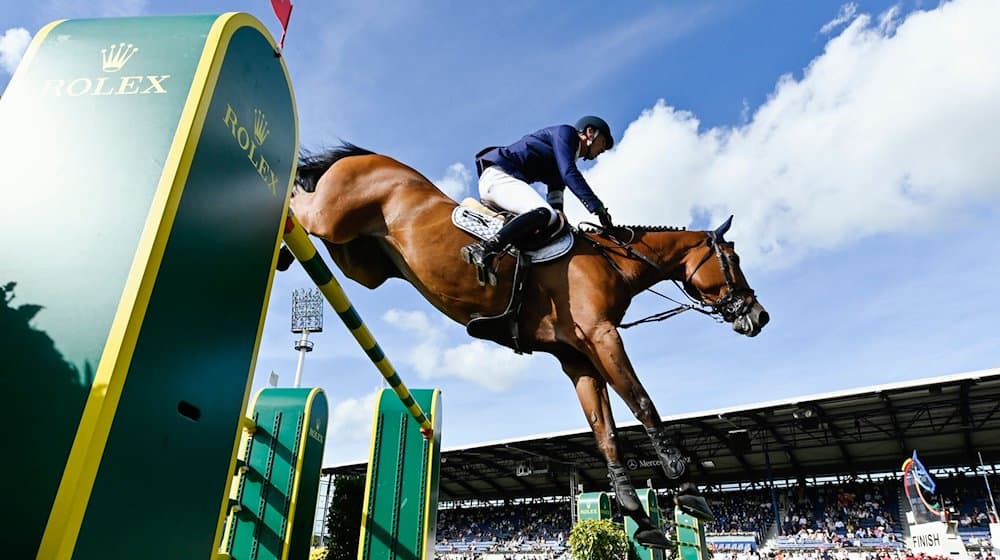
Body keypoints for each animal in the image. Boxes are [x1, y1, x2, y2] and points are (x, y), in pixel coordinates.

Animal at [286, 143, 768, 548]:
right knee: (295, 202)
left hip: (359, 263)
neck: (615, 260)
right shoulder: (602, 336)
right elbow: (643, 403)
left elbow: (607, 435)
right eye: (734, 260)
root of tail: (364, 156)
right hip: (328, 219)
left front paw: (640, 518)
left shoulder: (579, 358)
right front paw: (687, 487)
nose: (759, 316)